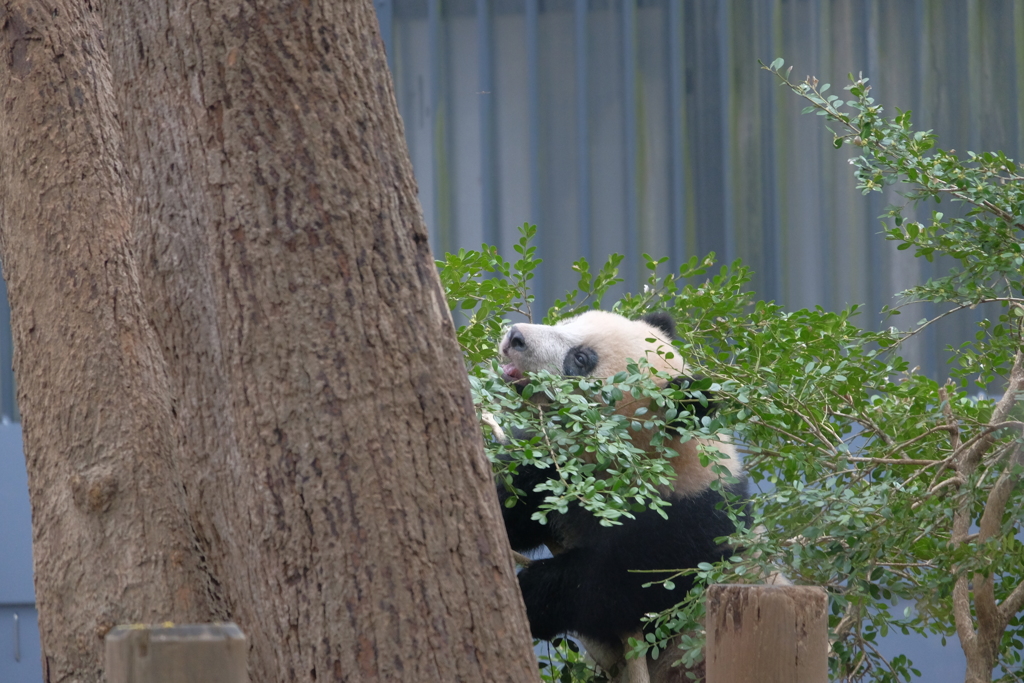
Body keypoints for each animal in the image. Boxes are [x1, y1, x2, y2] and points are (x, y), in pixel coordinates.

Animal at [493, 313, 745, 679]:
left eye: (581, 359)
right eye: (569, 321)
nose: (515, 337)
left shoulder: (689, 522)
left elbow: (625, 586)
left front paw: (531, 594)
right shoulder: (556, 473)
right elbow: (516, 501)